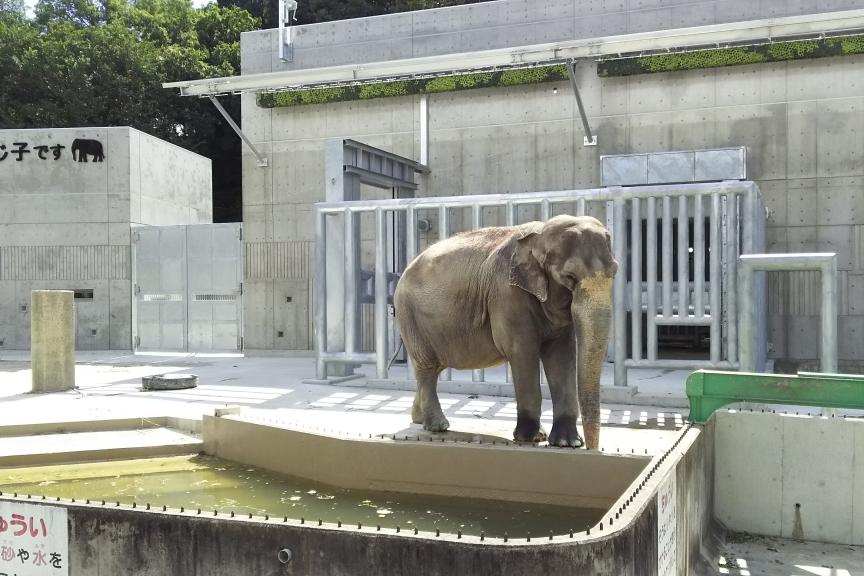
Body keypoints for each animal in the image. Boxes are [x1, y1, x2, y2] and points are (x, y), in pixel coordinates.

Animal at [394, 215, 616, 450]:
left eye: (614, 273)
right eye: (570, 276)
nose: (593, 448)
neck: (540, 234)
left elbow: (561, 356)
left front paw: (567, 442)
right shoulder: (507, 294)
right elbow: (522, 352)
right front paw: (530, 438)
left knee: (433, 369)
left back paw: (418, 419)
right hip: (410, 316)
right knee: (426, 368)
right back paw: (437, 426)